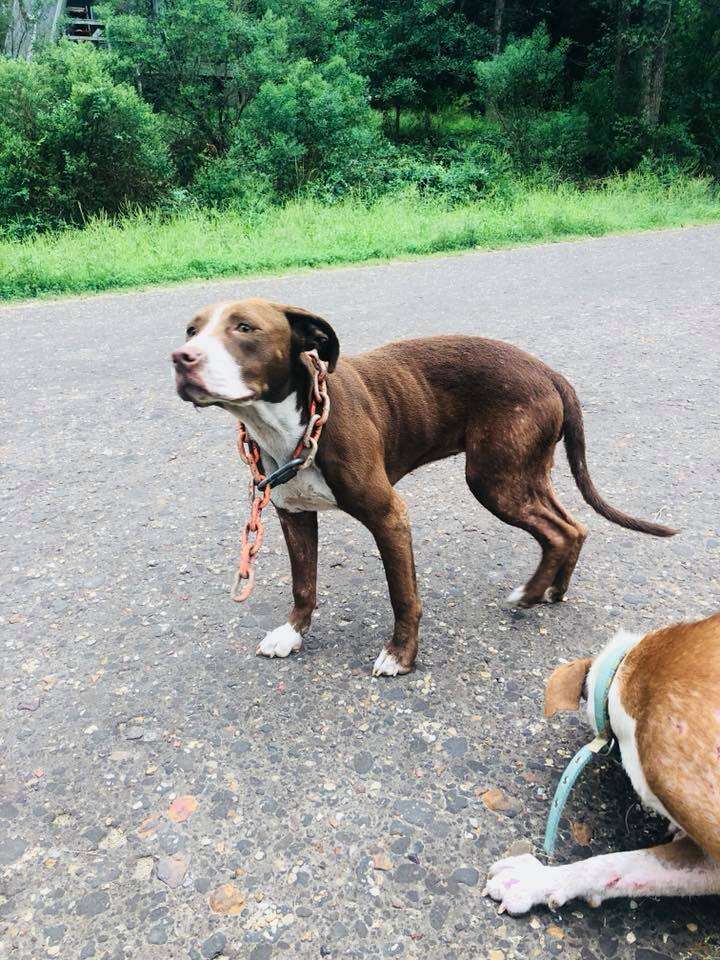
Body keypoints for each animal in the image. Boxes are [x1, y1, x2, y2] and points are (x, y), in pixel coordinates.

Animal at [172, 298, 676, 676]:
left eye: (244, 327)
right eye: (190, 331)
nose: (181, 358)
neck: (292, 427)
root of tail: (548, 371)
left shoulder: (389, 516)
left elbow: (404, 595)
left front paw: (401, 656)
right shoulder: (293, 515)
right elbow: (304, 583)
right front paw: (292, 632)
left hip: (495, 479)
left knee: (558, 531)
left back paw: (531, 595)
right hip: (523, 472)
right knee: (572, 527)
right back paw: (553, 590)